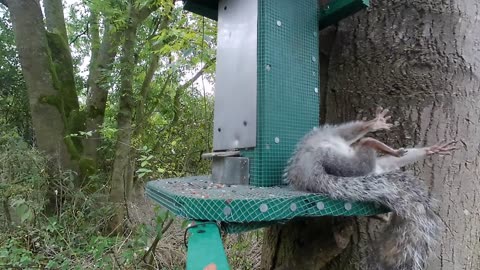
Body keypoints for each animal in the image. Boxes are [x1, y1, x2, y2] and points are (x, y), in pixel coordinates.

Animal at [284, 108, 458, 270]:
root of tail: (310, 172)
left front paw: (430, 150)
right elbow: (355, 130)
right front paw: (375, 124)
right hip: (345, 161)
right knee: (363, 141)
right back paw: (377, 142)